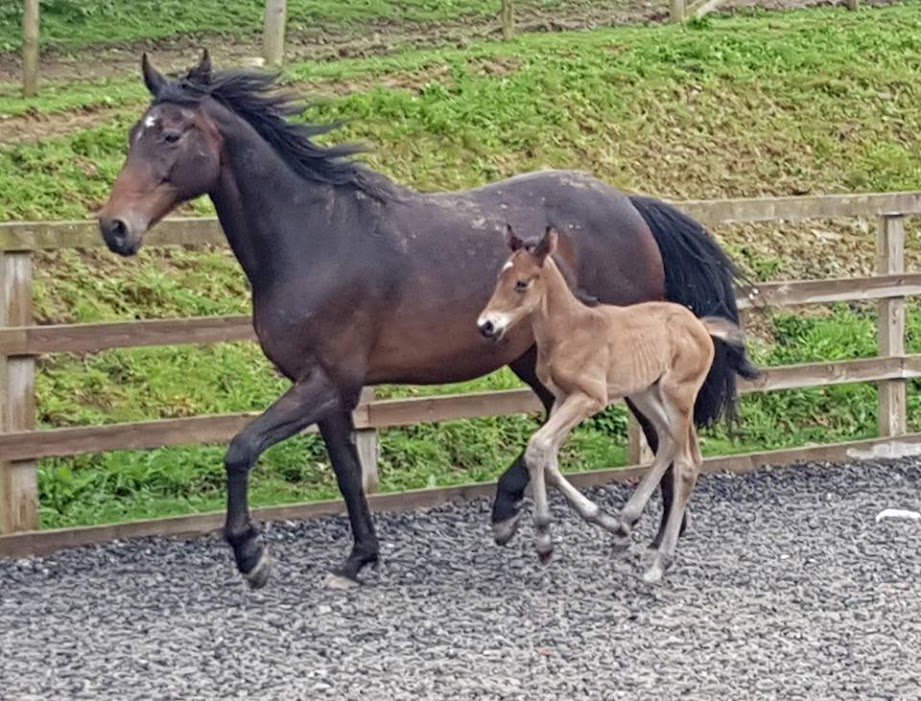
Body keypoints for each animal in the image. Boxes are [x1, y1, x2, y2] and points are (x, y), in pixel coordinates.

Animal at [478, 227, 752, 584]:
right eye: (500, 277)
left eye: (522, 283)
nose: (486, 325)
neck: (570, 330)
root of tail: (700, 326)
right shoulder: (563, 398)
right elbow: (547, 456)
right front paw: (599, 521)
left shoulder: (589, 397)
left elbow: (538, 447)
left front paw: (544, 540)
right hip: (645, 393)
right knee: (668, 442)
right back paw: (625, 523)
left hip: (678, 394)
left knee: (688, 461)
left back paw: (659, 563)